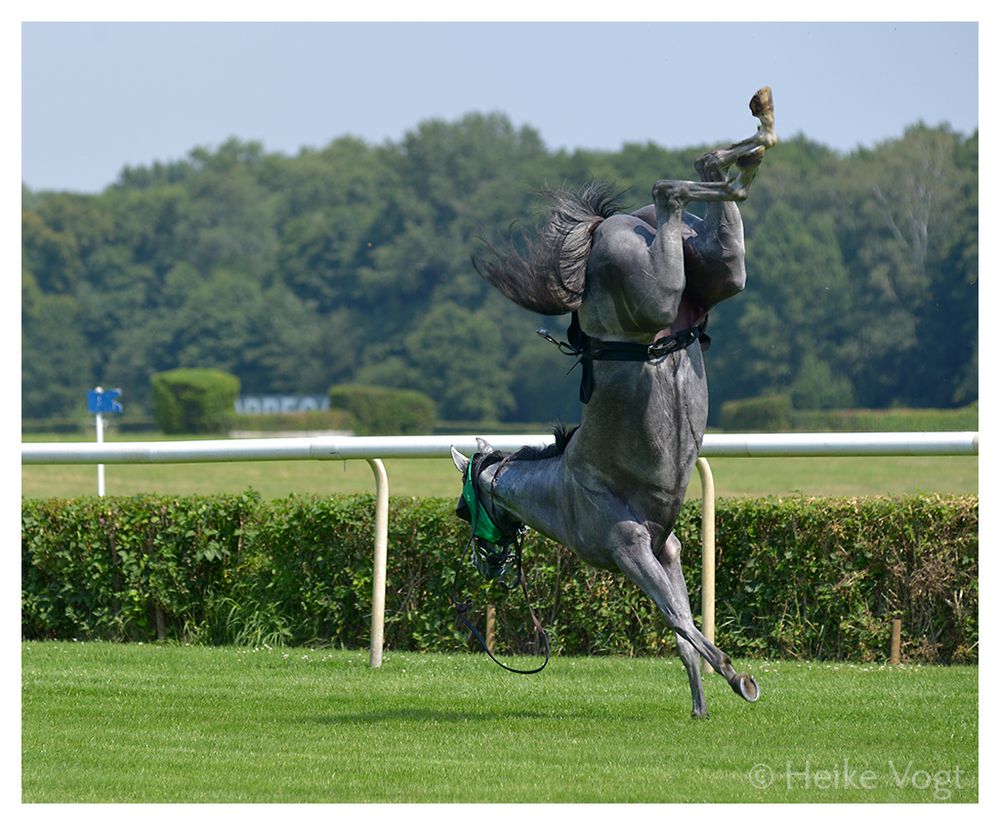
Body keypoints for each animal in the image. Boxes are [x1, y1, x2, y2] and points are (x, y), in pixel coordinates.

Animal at [450, 85, 776, 716]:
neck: (563, 488)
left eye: (463, 508)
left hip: (655, 289)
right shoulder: (664, 549)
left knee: (669, 190)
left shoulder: (630, 548)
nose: (485, 561)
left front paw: (737, 677)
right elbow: (681, 631)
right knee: (704, 209)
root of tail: (610, 224)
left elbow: (681, 622)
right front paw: (700, 706)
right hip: (708, 266)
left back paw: (744, 154)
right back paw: (751, 145)